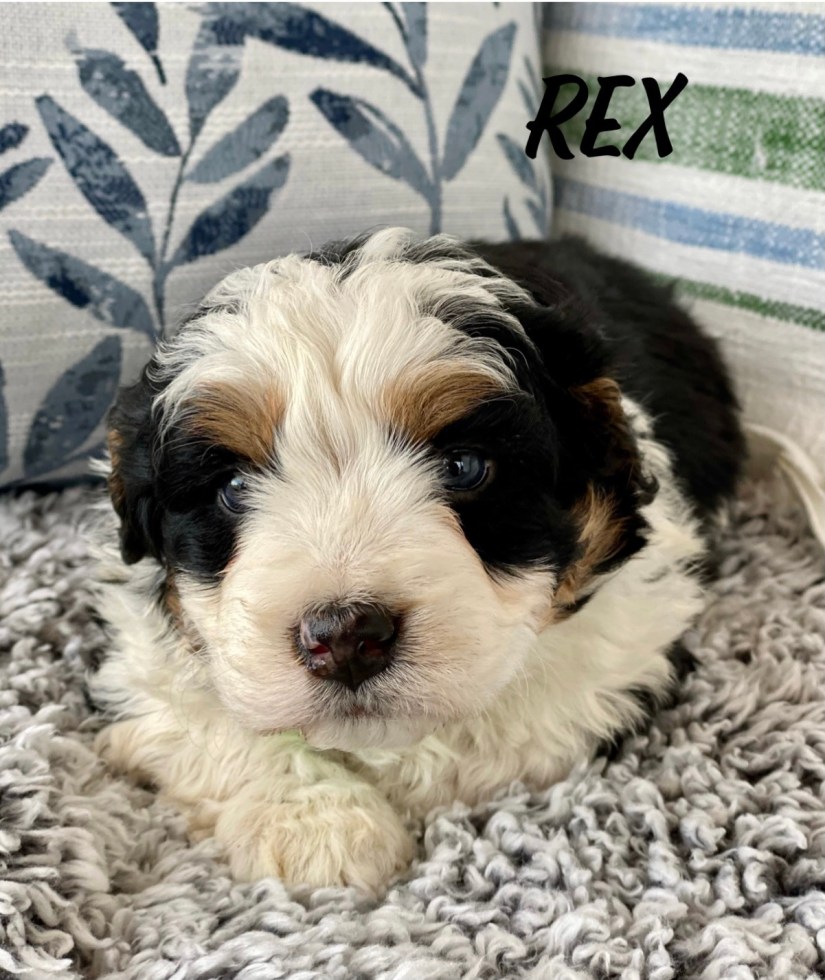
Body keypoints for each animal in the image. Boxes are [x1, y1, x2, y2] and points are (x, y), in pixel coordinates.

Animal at [90, 228, 744, 891]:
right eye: (232, 487)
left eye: (464, 467)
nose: (346, 637)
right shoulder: (146, 656)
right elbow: (204, 719)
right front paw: (317, 825)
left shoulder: (626, 653)